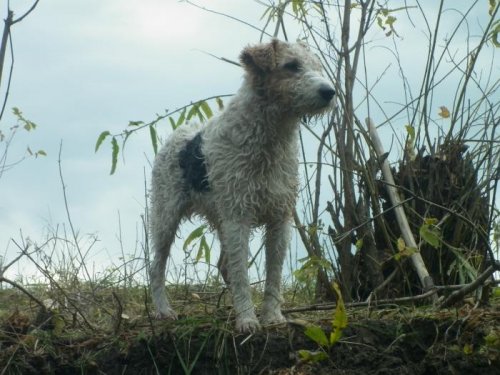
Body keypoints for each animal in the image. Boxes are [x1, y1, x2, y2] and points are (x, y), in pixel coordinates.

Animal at [150, 39, 334, 332]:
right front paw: (247, 319)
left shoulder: (279, 218)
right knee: (156, 266)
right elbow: (242, 275)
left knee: (224, 266)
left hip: (219, 219)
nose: (330, 92)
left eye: (317, 67)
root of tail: (178, 134)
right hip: (166, 217)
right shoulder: (239, 218)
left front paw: (272, 316)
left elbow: (272, 275)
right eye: (291, 65)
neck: (268, 142)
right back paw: (163, 310)